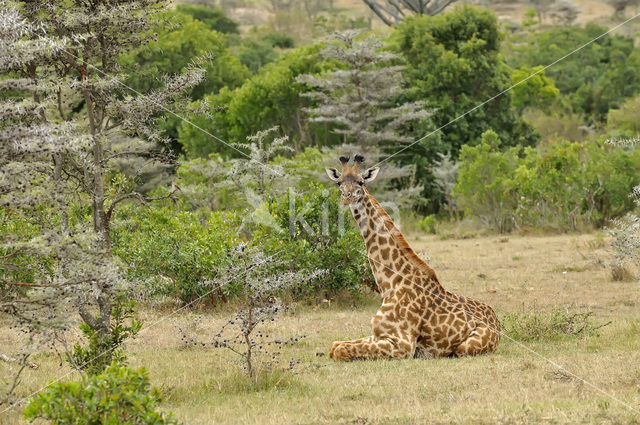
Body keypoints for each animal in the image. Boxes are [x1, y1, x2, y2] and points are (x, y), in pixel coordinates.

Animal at [324, 154, 500, 360]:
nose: (346, 197)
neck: (391, 284)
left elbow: (340, 350)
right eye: (339, 182)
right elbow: (335, 345)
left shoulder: (403, 344)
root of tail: (498, 323)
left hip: (466, 347)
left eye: (361, 182)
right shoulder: (378, 335)